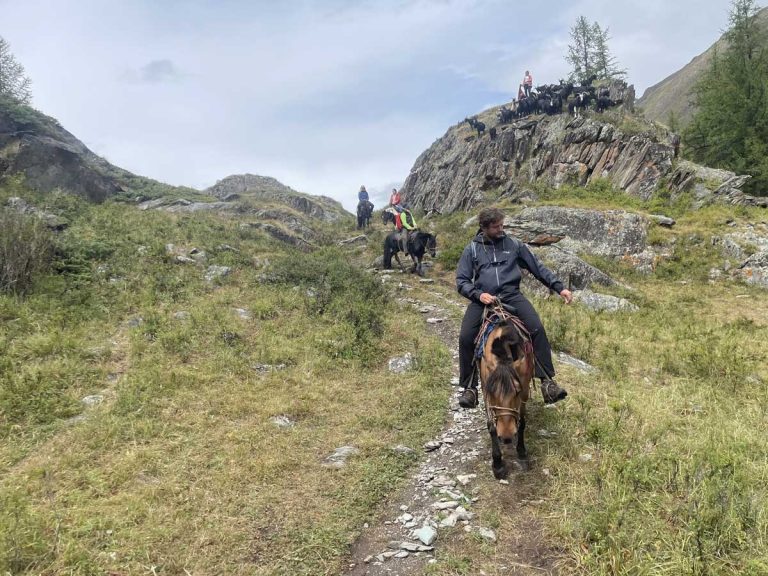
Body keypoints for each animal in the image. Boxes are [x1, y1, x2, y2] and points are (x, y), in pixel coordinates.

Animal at [480, 308, 536, 480]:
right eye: (492, 393)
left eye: (516, 392)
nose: (506, 437)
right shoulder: (484, 388)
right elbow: (491, 427)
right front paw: (497, 464)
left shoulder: (524, 390)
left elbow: (522, 422)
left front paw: (522, 452)